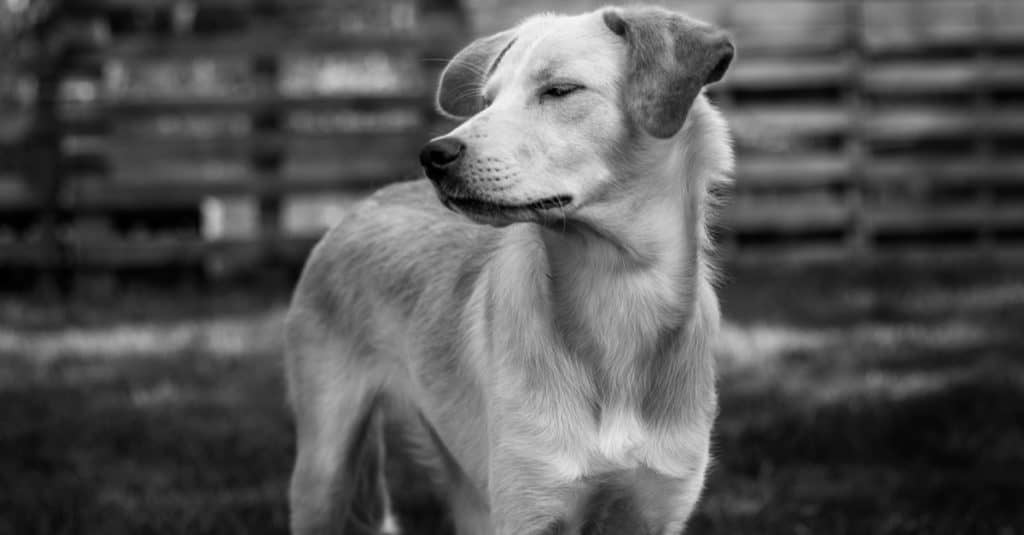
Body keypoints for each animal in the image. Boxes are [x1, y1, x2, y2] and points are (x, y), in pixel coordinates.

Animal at [286, 5, 737, 532]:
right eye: (487, 100)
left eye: (559, 90)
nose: (434, 155)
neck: (618, 294)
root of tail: (365, 202)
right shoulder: (527, 508)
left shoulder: (654, 510)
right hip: (324, 470)